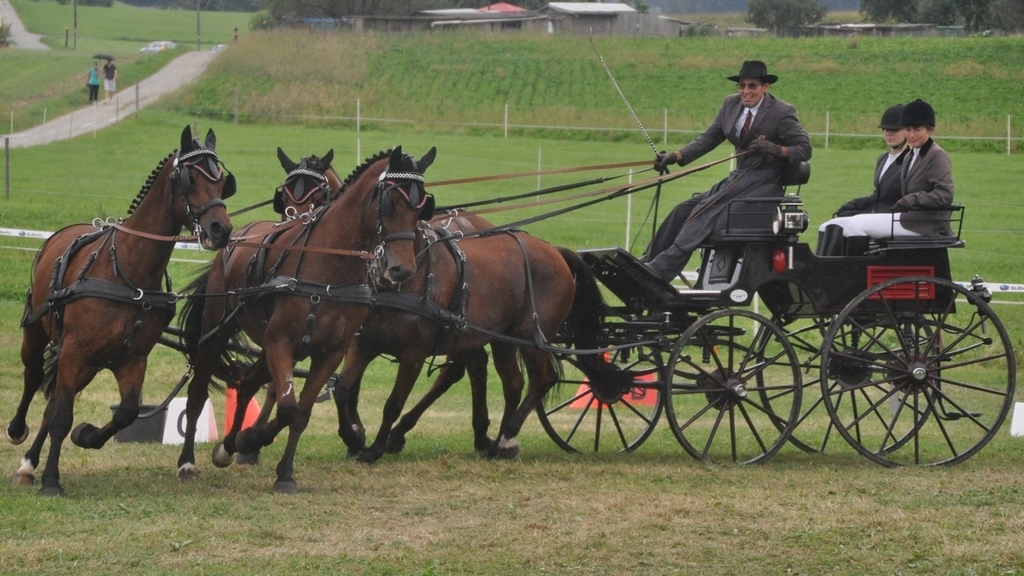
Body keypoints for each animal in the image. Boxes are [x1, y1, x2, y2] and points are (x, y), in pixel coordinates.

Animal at [6, 125, 234, 494]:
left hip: (87, 365)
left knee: (54, 403)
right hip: (40, 335)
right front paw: (52, 480)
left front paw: (86, 436)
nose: (221, 229)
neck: (127, 272)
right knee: (34, 379)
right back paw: (19, 440)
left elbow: (124, 413)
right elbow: (62, 416)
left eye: (221, 180)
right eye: (191, 179)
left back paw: (30, 463)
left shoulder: (131, 359)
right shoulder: (73, 350)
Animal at [180, 145, 436, 491]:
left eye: (421, 205)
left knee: (246, 385)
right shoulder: (280, 342)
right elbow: (288, 408)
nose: (402, 269)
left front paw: (282, 470)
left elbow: (301, 412)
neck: (329, 267)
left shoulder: (331, 351)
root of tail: (239, 234)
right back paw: (189, 461)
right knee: (198, 394)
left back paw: (231, 445)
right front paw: (253, 441)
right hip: (217, 331)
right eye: (389, 201)